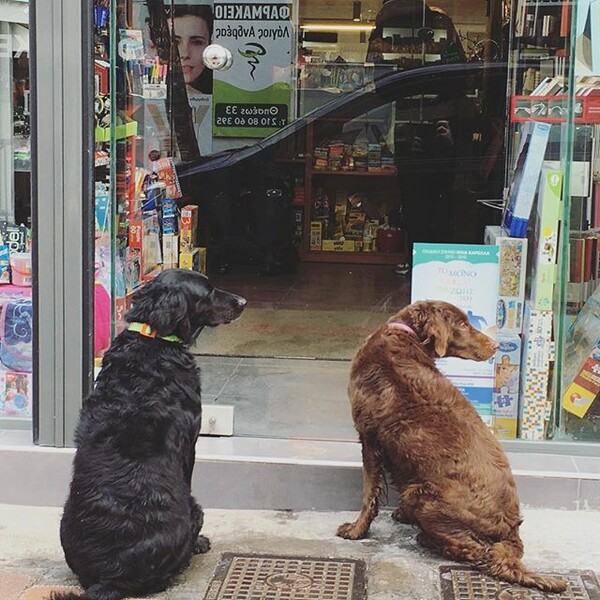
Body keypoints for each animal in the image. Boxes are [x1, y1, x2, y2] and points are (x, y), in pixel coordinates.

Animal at [51, 270, 246, 596]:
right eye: (207, 292)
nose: (243, 301)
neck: (152, 336)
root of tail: (110, 578)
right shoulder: (190, 444)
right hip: (193, 512)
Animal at [338, 302, 568, 592]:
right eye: (461, 324)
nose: (495, 345)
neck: (404, 335)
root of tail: (510, 530)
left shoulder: (369, 440)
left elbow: (369, 495)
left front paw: (356, 530)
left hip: (422, 495)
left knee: (478, 552)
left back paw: (427, 539)